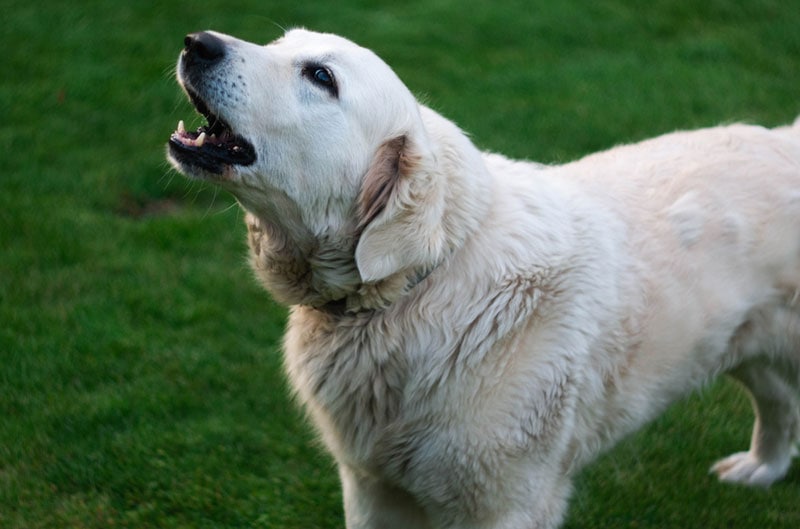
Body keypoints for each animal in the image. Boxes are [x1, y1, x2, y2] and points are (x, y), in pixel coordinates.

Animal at [167, 29, 800, 528]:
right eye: (280, 43)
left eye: (320, 76)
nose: (197, 41)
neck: (416, 286)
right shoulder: (372, 486)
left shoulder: (503, 503)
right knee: (779, 401)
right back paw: (761, 469)